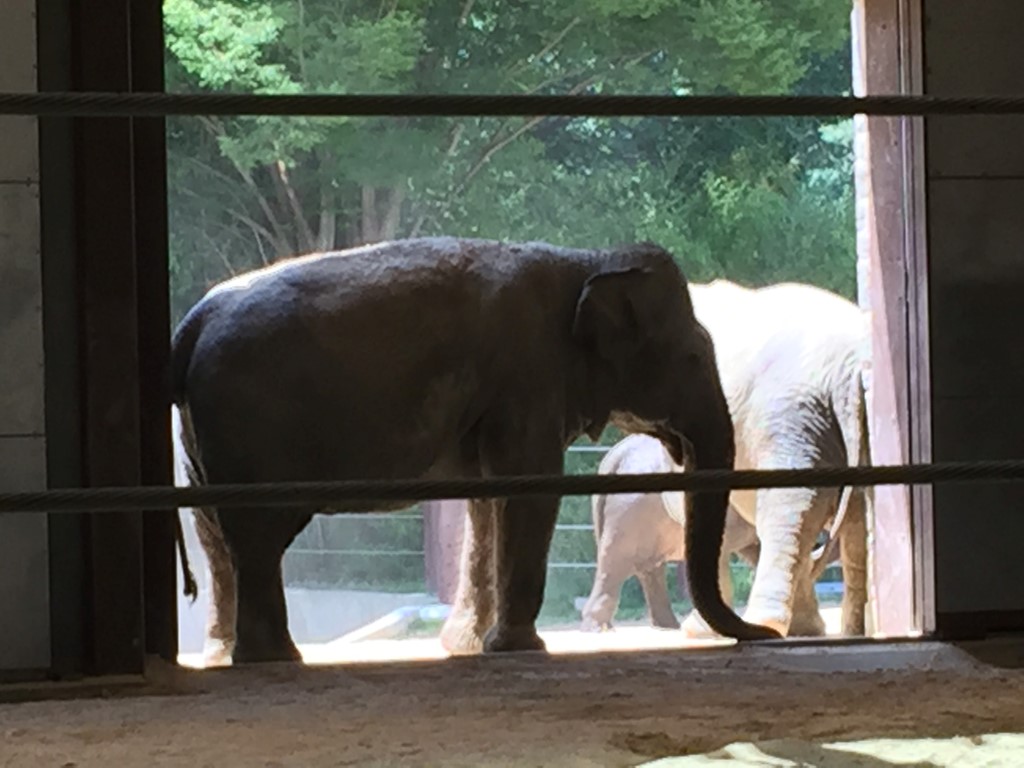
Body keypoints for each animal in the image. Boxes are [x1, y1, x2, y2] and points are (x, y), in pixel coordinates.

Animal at [170, 236, 779, 664]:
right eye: (693, 357)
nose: (768, 634)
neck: (584, 260)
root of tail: (191, 323)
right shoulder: (528, 376)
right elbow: (531, 488)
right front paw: (519, 648)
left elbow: (487, 498)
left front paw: (466, 646)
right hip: (249, 426)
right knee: (257, 536)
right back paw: (274, 658)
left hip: (200, 440)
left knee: (216, 536)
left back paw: (223, 656)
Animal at [592, 279, 870, 639]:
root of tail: (847, 373)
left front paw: (699, 631)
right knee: (853, 517)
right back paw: (847, 630)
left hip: (792, 417)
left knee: (793, 507)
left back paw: (765, 625)